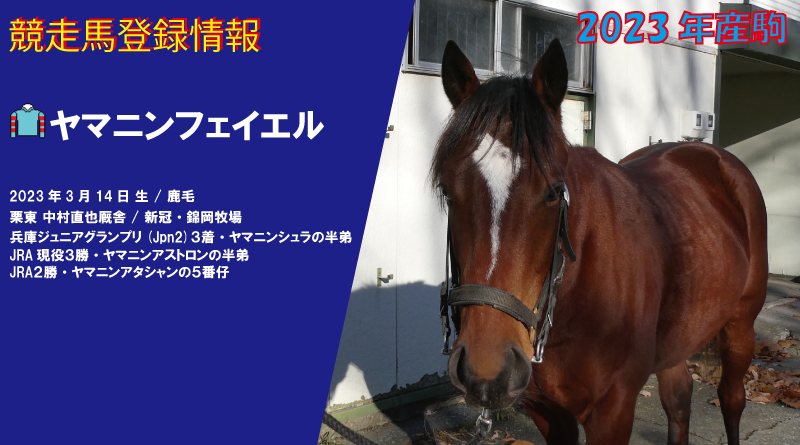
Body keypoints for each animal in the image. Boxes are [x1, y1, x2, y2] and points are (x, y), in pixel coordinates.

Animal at [431, 39, 768, 445]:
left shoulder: (614, 409)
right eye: (448, 191)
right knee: (679, 396)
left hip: (740, 328)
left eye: (554, 192)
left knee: (731, 399)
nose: (487, 370)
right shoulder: (547, 411)